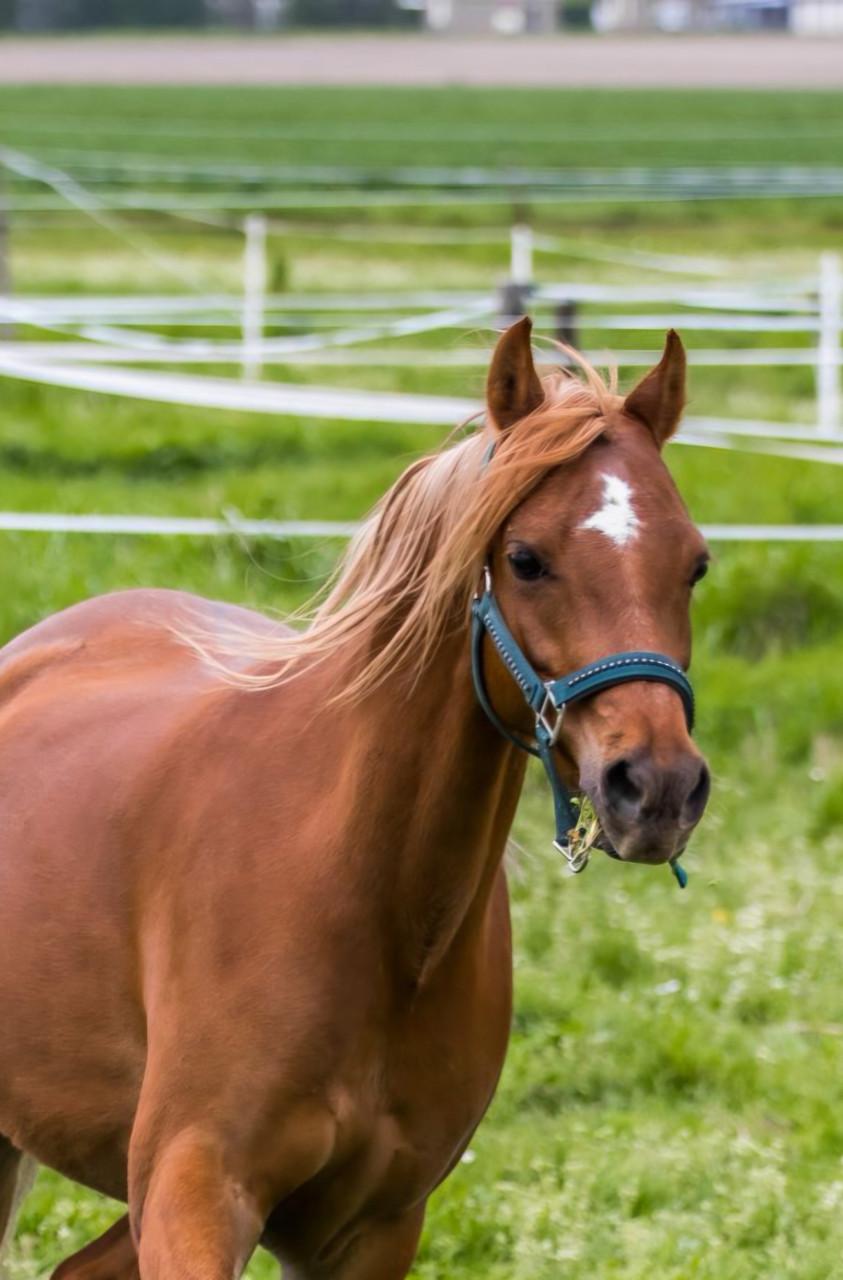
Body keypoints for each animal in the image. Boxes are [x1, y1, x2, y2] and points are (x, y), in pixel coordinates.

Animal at [0, 318, 710, 1280]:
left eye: (695, 565)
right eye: (525, 560)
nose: (658, 785)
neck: (369, 897)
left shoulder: (372, 1227)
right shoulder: (194, 1191)